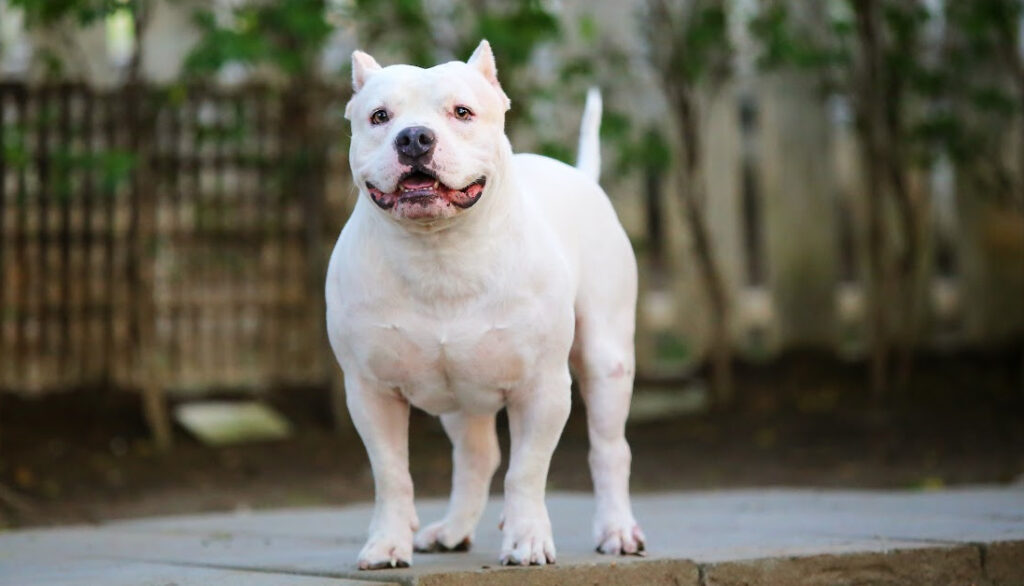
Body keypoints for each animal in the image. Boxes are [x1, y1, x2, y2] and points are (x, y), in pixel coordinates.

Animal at [327, 39, 643, 569]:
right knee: (477, 457)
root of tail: (578, 174)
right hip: (460, 399)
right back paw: (453, 531)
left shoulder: (542, 388)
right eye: (379, 116)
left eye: (462, 112)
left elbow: (527, 471)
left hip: (607, 359)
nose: (414, 138)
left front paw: (527, 539)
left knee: (609, 449)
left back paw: (617, 530)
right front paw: (387, 543)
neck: (440, 253)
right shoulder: (371, 392)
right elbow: (392, 475)